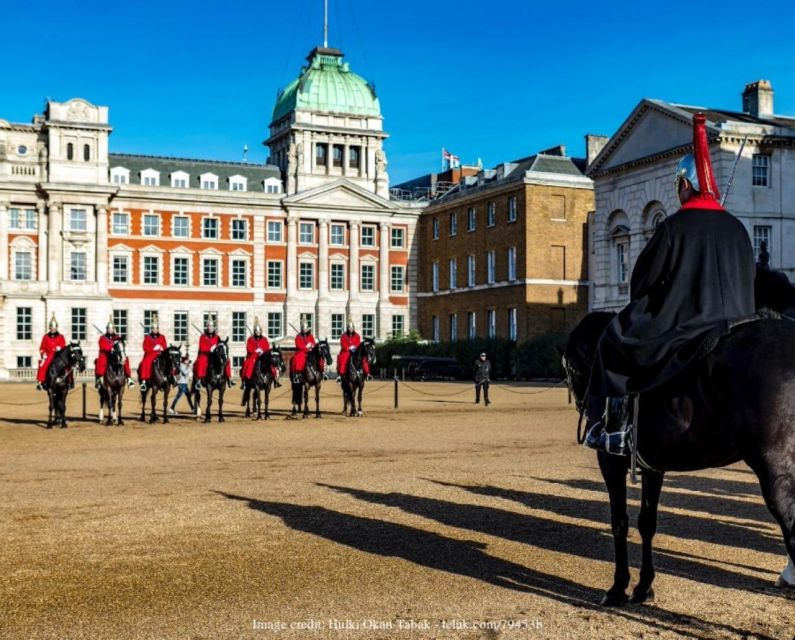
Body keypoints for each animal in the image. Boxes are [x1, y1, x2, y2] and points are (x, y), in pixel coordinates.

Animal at [564, 312, 795, 604]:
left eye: (574, 369)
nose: (582, 405)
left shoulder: (610, 462)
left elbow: (619, 522)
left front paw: (618, 588)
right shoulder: (653, 467)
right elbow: (646, 523)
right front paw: (643, 586)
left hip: (774, 471)